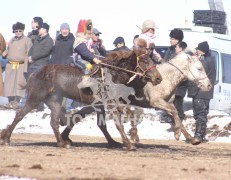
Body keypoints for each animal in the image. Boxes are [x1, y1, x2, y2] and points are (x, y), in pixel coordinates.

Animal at [0, 48, 162, 148]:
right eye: (145, 60)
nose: (158, 78)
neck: (113, 75)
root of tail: (36, 73)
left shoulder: (101, 105)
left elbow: (104, 124)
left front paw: (119, 140)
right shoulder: (110, 104)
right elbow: (117, 123)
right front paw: (128, 144)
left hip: (55, 102)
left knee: (54, 122)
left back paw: (62, 142)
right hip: (35, 97)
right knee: (20, 114)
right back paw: (6, 138)